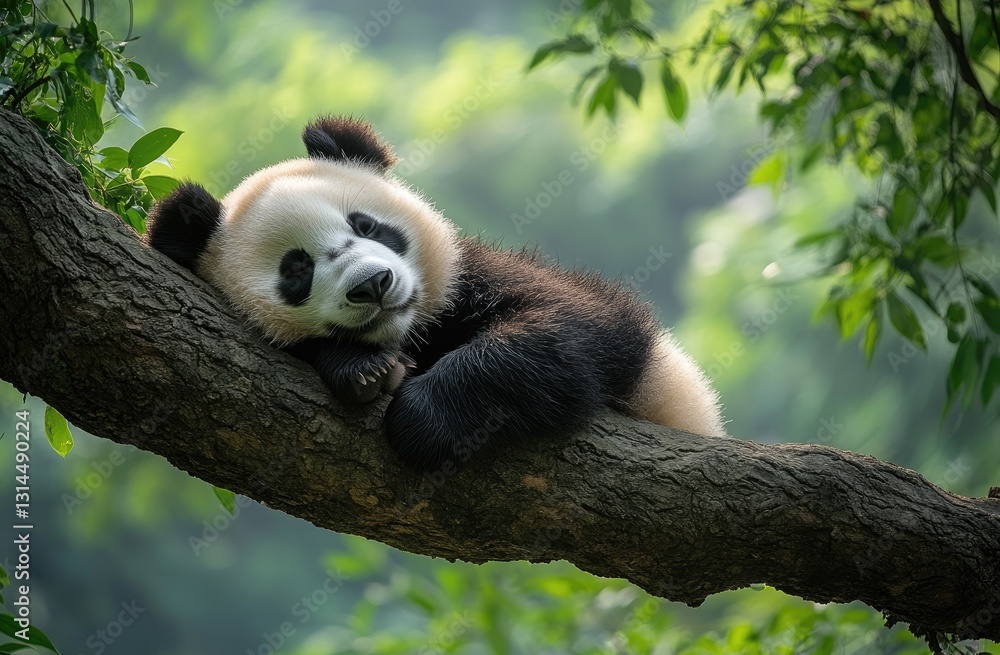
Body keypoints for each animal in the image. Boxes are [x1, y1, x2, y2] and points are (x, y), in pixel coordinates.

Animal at [146, 115, 725, 472]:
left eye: (366, 225)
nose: (372, 285)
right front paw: (365, 370)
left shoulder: (477, 274)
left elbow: (573, 326)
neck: (418, 330)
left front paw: (423, 419)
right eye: (296, 272)